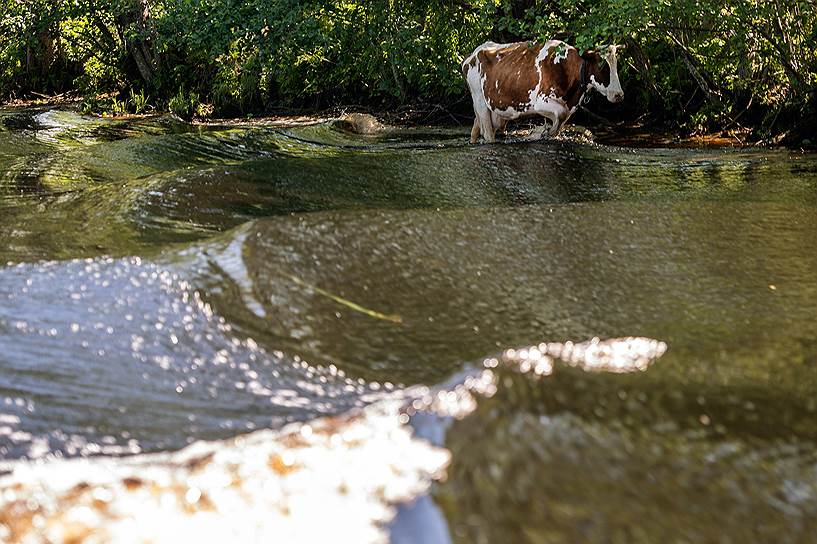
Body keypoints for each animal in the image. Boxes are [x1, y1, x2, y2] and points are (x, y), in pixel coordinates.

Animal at [460, 39, 624, 142]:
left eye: (616, 64)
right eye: (603, 66)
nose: (619, 94)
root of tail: (472, 54)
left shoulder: (569, 106)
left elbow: (561, 119)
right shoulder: (541, 101)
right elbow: (559, 115)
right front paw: (541, 133)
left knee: (476, 128)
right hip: (480, 101)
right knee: (487, 133)